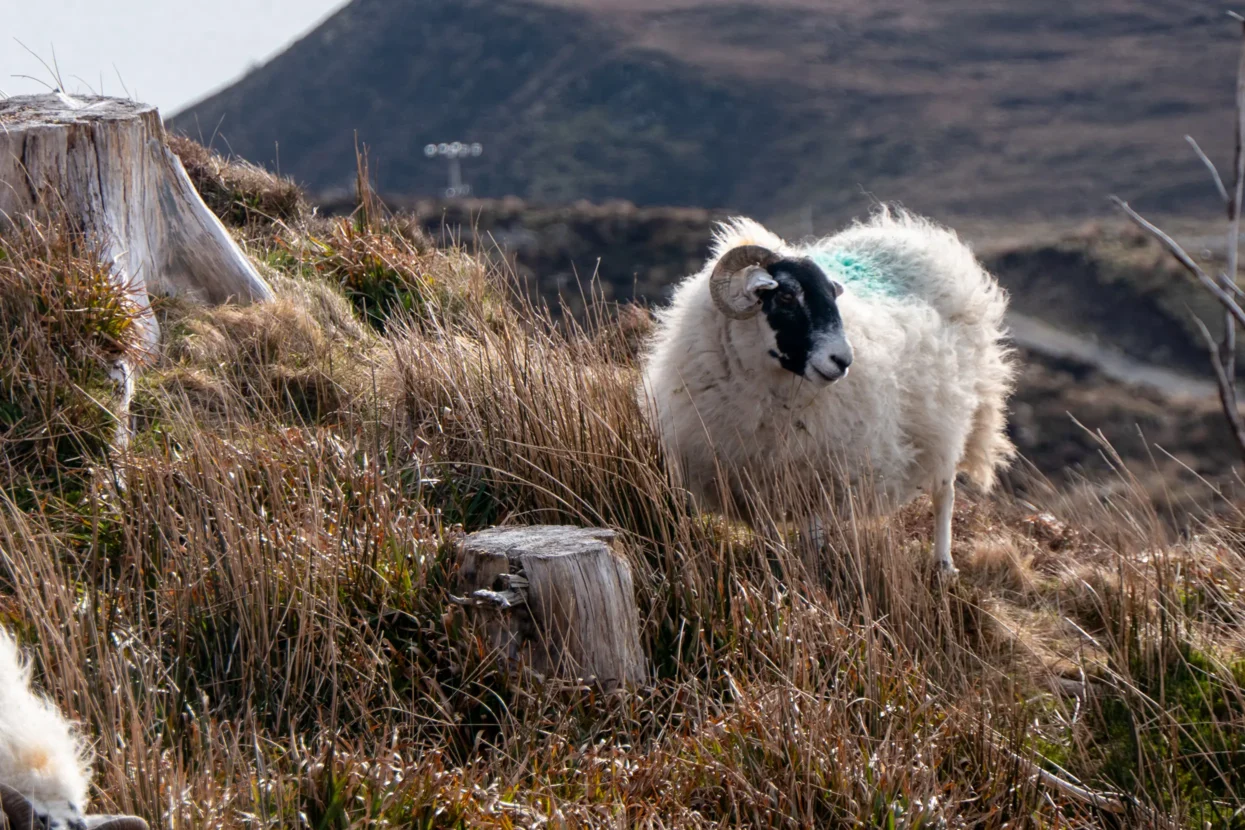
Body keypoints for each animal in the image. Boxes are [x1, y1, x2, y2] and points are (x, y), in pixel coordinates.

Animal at [637, 206, 1015, 577]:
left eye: (832, 297)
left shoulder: (820, 478)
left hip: (952, 419)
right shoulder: (753, 483)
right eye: (786, 295)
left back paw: (944, 564)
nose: (843, 360)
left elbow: (813, 542)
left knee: (944, 493)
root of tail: (918, 237)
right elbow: (772, 541)